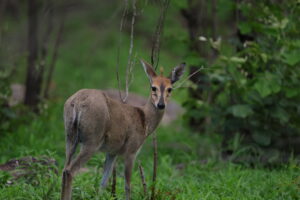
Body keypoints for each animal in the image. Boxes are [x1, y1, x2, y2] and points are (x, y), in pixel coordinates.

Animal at [59, 60, 184, 199]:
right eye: (153, 87)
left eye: (170, 89)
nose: (161, 105)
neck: (144, 120)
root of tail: (77, 102)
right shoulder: (131, 150)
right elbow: (127, 185)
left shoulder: (112, 152)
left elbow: (103, 182)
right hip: (92, 139)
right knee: (70, 171)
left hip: (69, 136)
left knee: (64, 169)